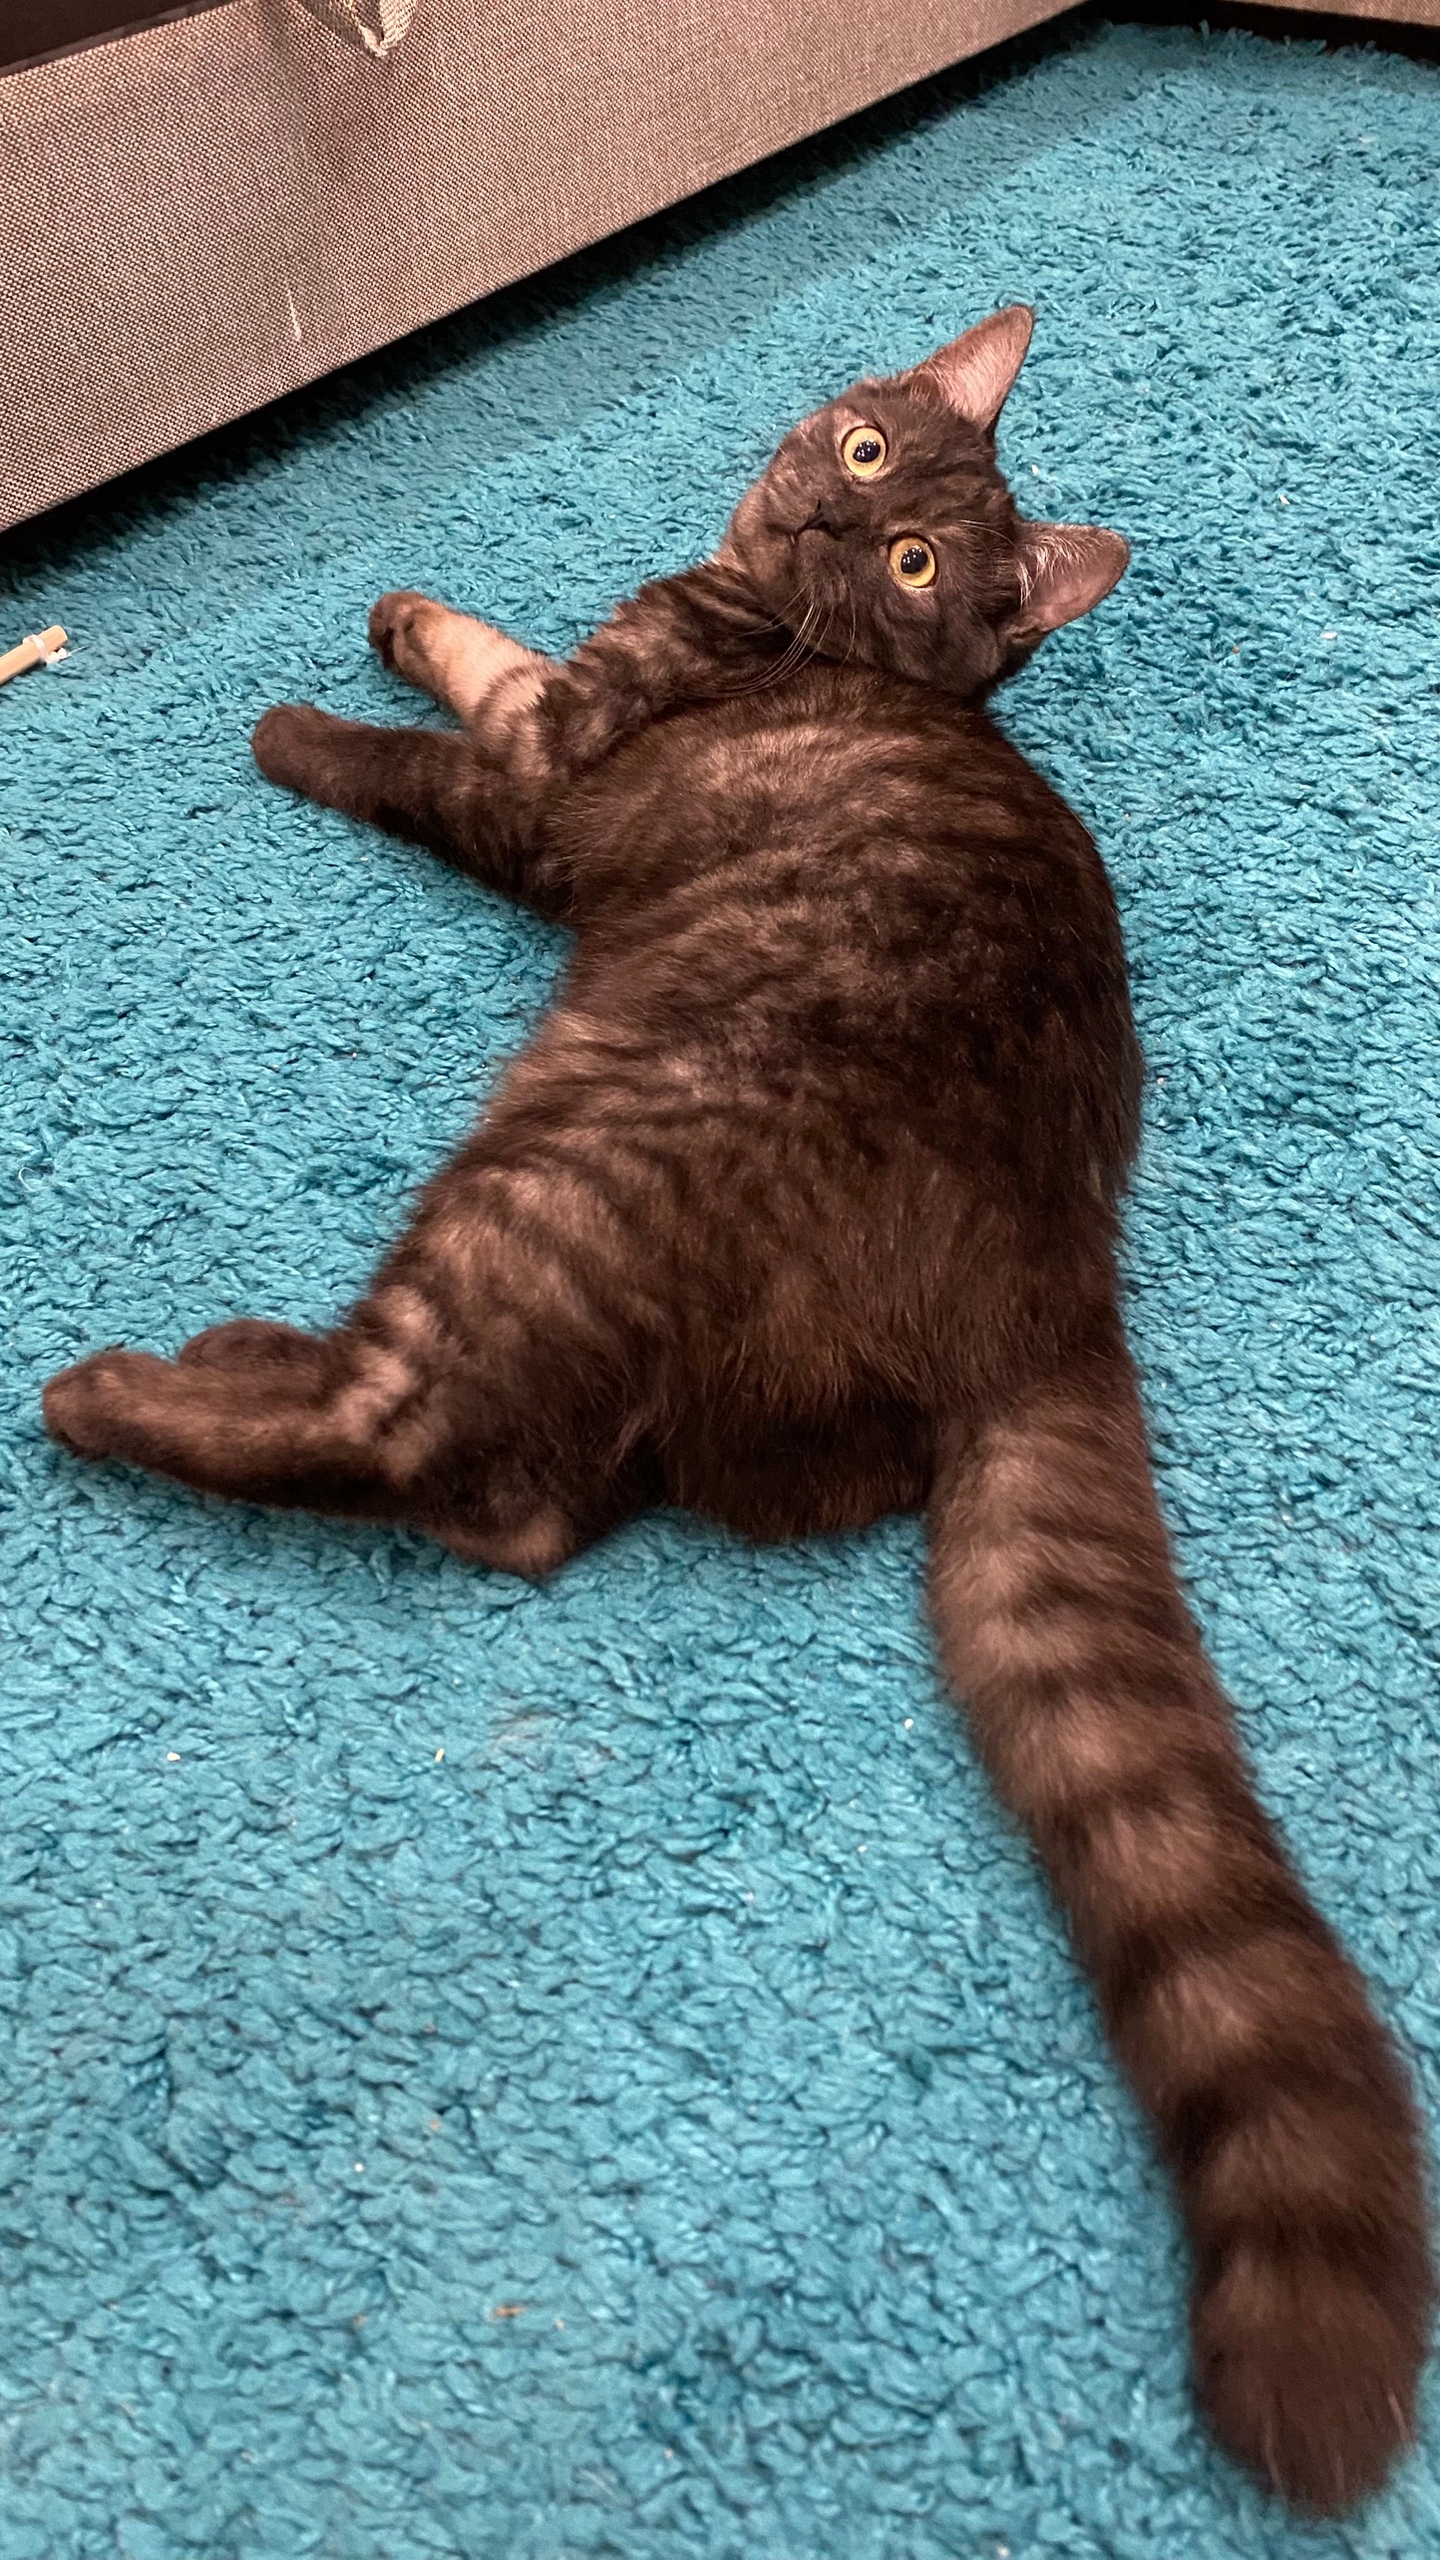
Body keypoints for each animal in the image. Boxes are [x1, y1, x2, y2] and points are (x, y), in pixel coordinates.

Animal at [42, 307, 1432, 2512]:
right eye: (867, 452)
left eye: (926, 563)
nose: (828, 517)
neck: (752, 618)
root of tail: (1059, 1290)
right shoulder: (573, 691)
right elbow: (494, 652)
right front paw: (409, 612)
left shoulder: (542, 793)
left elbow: (437, 749)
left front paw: (300, 720)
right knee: (538, 1495)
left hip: (554, 1164)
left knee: (440, 1454)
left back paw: (131, 1396)